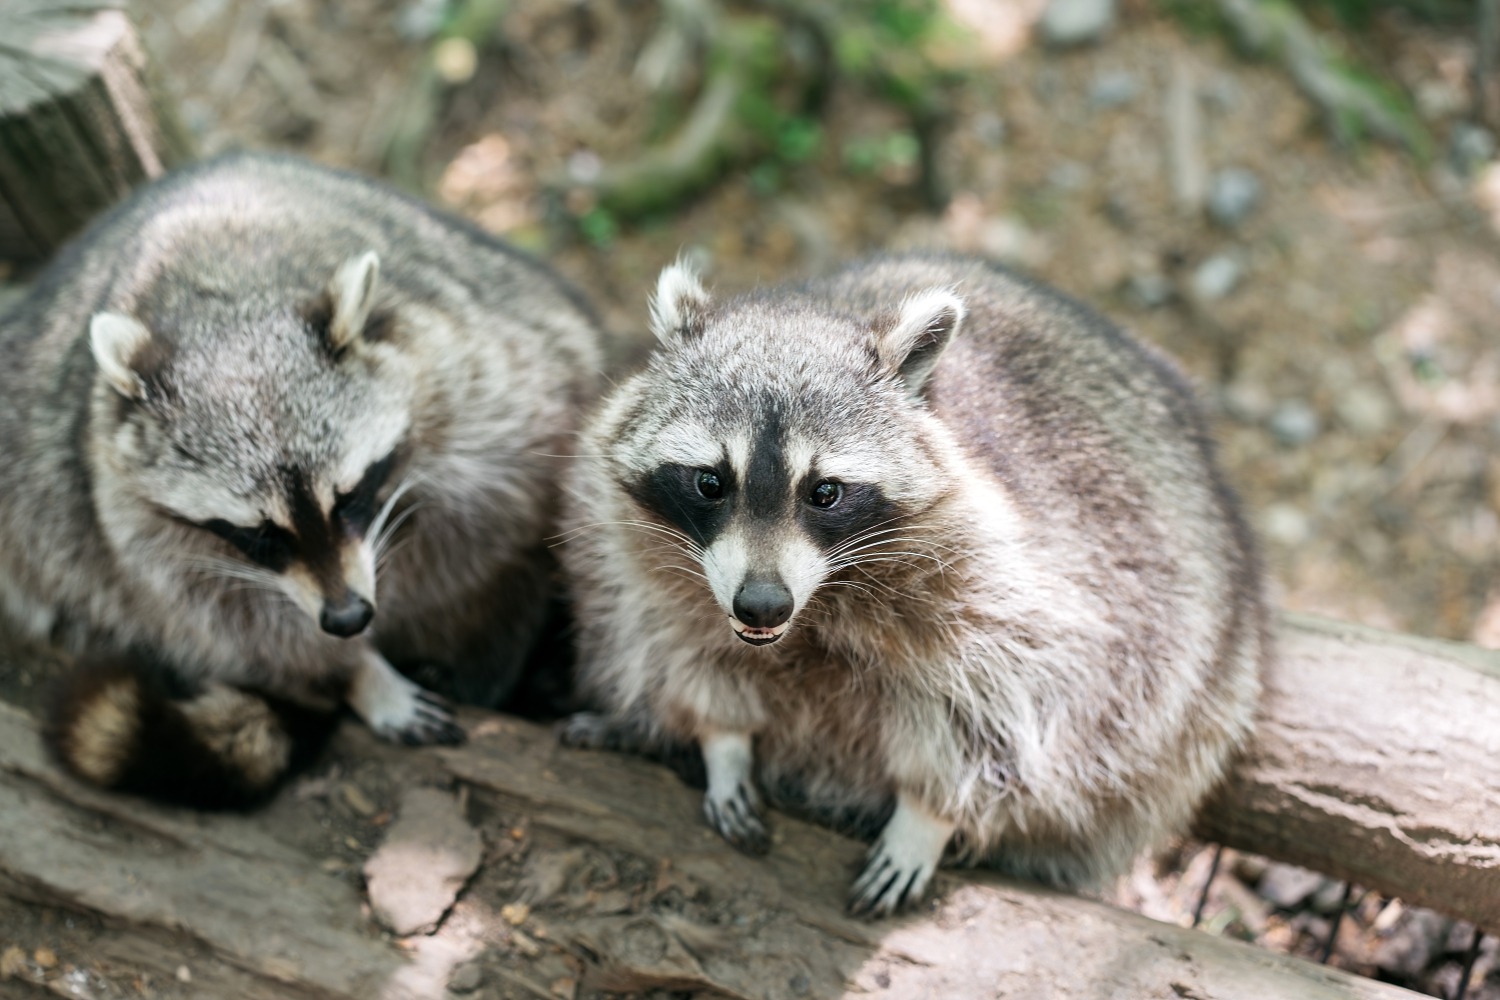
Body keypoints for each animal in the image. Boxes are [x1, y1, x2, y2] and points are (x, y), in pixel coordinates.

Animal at [4, 152, 609, 809]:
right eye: (259, 533)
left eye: (348, 498)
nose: (347, 619)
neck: (225, 303)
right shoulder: (130, 515)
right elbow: (233, 623)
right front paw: (359, 675)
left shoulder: (475, 387)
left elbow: (495, 537)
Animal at [561, 256, 1266, 917]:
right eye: (711, 481)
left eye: (825, 492)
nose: (761, 604)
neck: (816, 609)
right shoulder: (658, 571)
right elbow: (685, 652)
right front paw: (721, 741)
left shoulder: (1017, 584)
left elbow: (1006, 708)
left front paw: (927, 818)